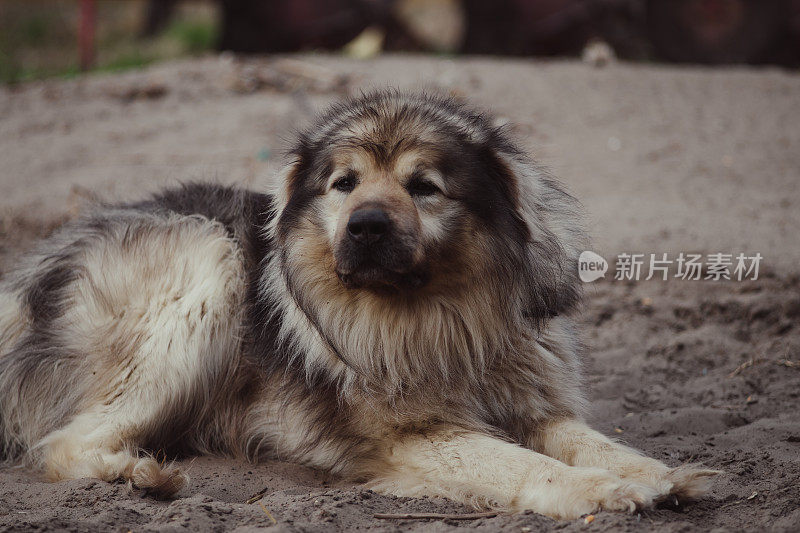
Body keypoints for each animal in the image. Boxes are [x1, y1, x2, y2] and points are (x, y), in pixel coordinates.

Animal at [0, 91, 712, 520]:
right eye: (344, 184)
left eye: (424, 187)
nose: (367, 225)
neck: (440, 317)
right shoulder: (415, 438)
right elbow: (519, 461)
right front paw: (602, 491)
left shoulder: (535, 406)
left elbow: (589, 441)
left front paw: (658, 472)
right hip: (208, 263)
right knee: (62, 445)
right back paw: (139, 476)